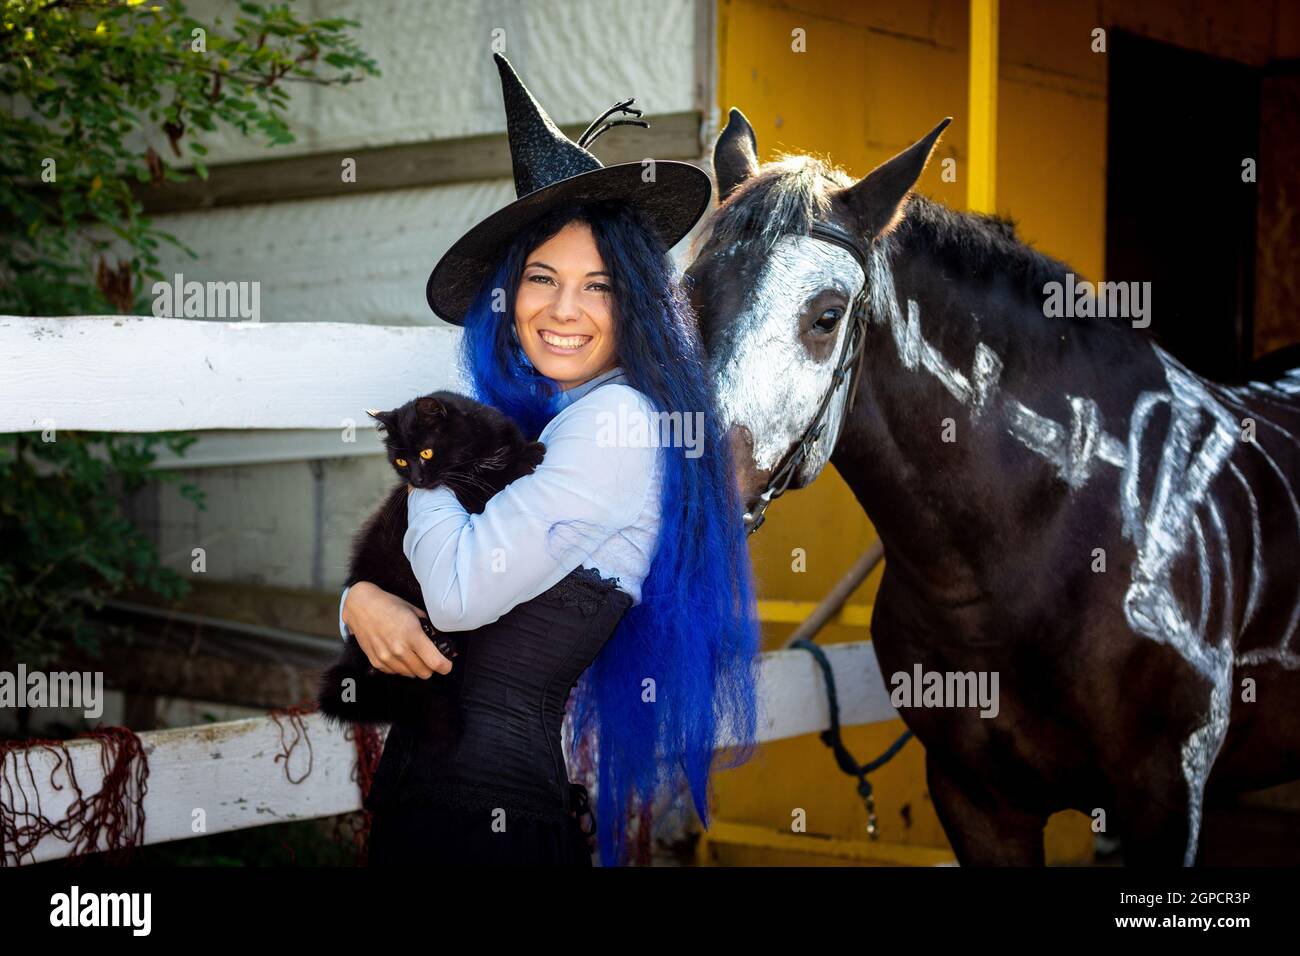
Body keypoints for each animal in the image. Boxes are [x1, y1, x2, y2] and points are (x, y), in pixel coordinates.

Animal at [322, 390, 551, 749]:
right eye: (401, 462)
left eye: (426, 453)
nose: (416, 480)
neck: (480, 447)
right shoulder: (469, 495)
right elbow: (489, 480)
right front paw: (526, 457)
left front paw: (526, 448)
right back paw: (435, 638)